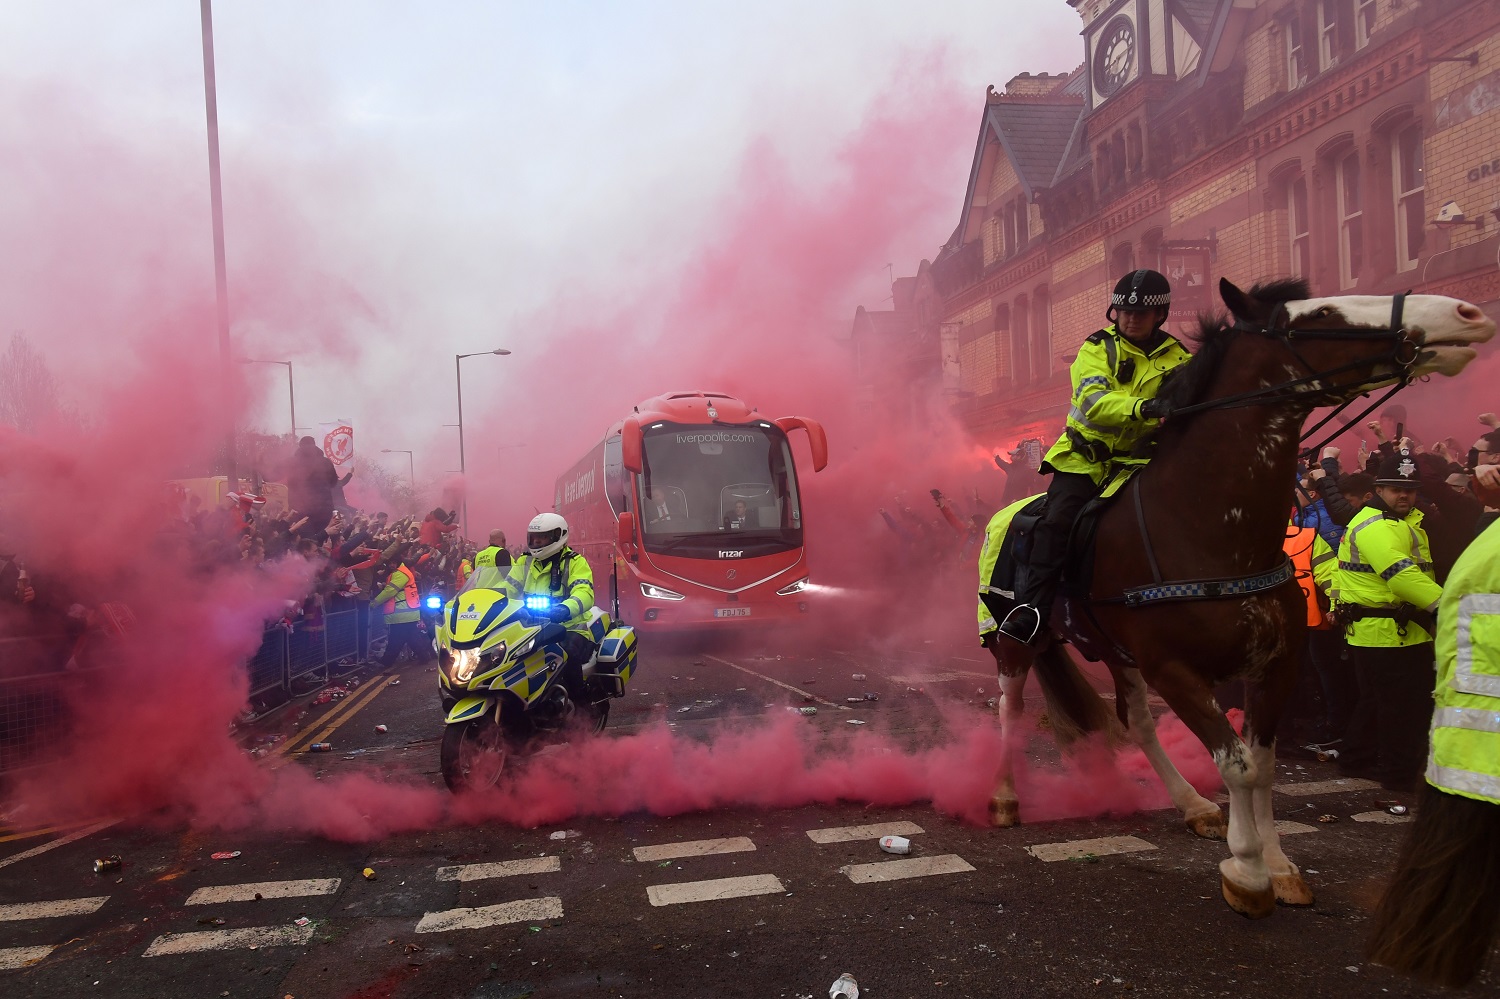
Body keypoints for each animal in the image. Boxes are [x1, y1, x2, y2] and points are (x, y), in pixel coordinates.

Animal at [984, 276, 1488, 912]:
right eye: (1320, 314)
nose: (1465, 314)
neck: (1209, 527)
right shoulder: (1176, 669)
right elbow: (1238, 765)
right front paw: (1246, 871)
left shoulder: (1275, 663)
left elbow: (1263, 764)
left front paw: (1278, 865)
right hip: (1015, 639)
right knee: (1011, 705)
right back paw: (1004, 797)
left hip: (1117, 652)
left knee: (1137, 720)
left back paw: (1192, 804)